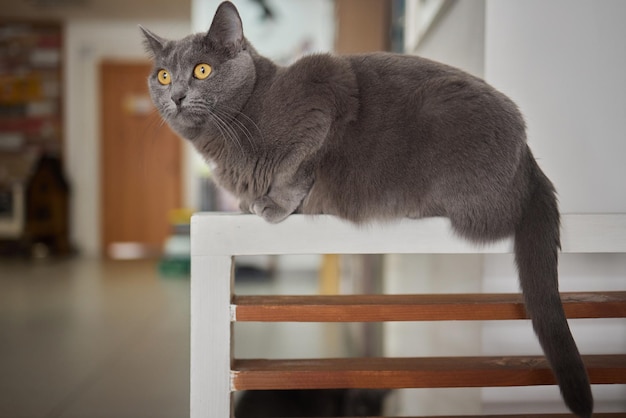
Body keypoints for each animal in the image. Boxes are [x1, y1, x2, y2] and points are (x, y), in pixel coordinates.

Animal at [140, 1, 588, 416]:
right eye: (163, 76)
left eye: (202, 71)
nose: (176, 95)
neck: (232, 128)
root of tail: (528, 157)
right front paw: (252, 201)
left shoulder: (321, 94)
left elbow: (296, 168)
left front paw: (273, 204)